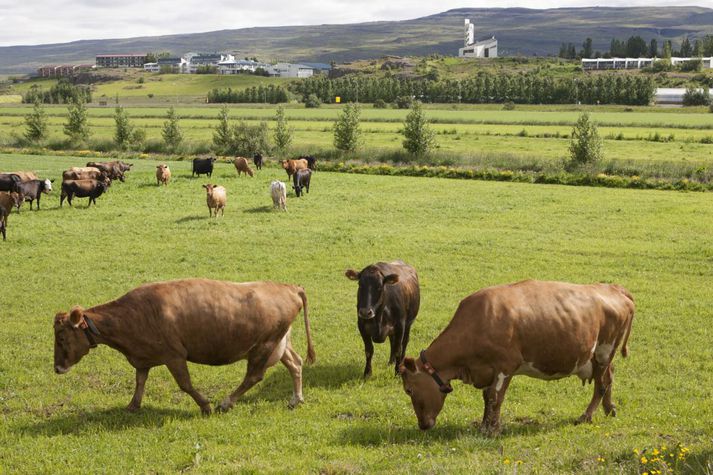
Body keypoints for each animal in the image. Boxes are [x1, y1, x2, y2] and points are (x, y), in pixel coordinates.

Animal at [52, 278, 314, 412]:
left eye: (62, 337)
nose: (57, 368)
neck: (135, 313)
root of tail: (289, 287)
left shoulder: (174, 355)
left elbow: (185, 384)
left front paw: (205, 405)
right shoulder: (142, 357)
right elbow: (140, 381)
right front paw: (133, 405)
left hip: (263, 346)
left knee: (254, 376)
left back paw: (225, 402)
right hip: (280, 343)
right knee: (295, 363)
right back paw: (296, 399)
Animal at [400, 280, 636, 436]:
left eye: (409, 390)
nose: (423, 425)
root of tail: (613, 288)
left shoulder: (505, 367)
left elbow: (495, 398)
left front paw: (492, 430)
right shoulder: (488, 371)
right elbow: (486, 397)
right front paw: (484, 425)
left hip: (604, 351)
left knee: (601, 384)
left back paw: (586, 416)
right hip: (598, 356)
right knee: (609, 377)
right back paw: (609, 408)